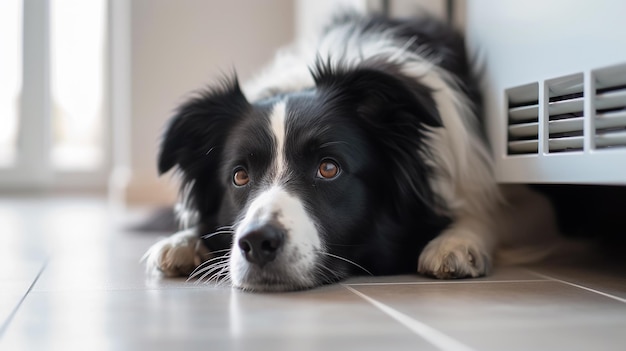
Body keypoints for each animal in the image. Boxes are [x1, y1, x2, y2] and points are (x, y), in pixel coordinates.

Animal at [143, 13, 536, 292]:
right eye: (239, 176)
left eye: (328, 168)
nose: (256, 241)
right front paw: (181, 241)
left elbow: (490, 212)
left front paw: (456, 241)